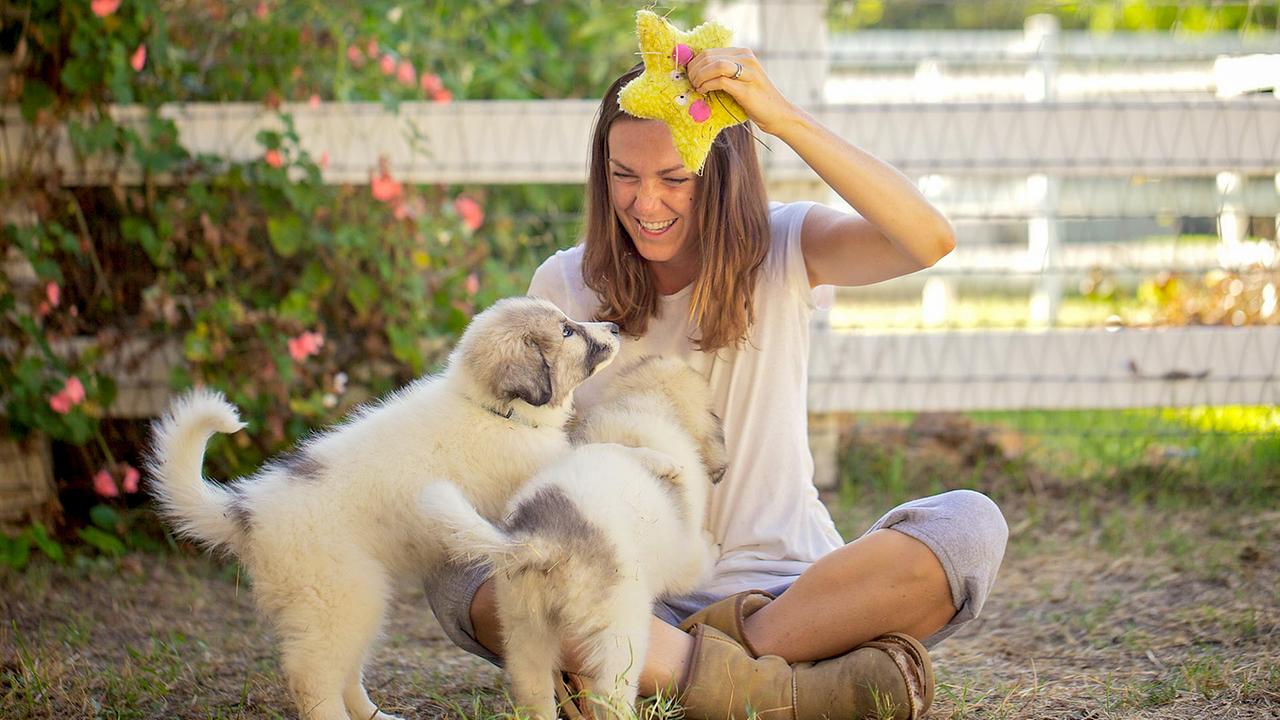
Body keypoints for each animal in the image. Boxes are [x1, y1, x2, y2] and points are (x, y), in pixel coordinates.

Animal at [145, 295, 619, 717]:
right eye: (566, 331)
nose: (614, 327)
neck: (493, 411)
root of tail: (248, 510)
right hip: (340, 596)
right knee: (313, 678)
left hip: (355, 600)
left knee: (346, 671)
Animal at [422, 353, 732, 717]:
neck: (647, 405)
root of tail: (545, 541)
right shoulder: (685, 558)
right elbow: (702, 560)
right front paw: (715, 545)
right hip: (619, 635)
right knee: (611, 696)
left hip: (524, 628)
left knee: (535, 693)